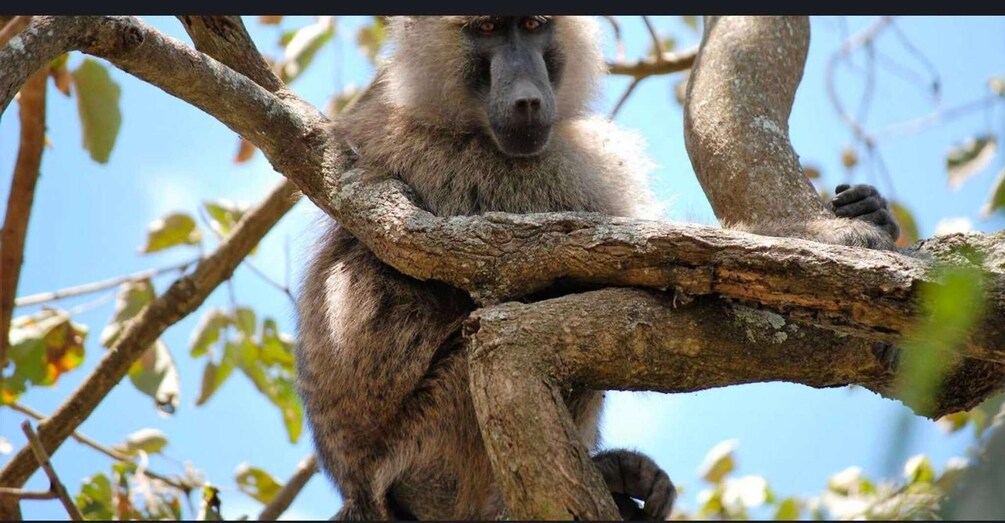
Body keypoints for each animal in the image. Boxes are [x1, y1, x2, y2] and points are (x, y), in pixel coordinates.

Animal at [294, 16, 899, 521]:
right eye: (486, 29)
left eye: (532, 26)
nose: (526, 99)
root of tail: (359, 489)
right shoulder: (515, 175)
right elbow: (645, 264)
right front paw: (836, 239)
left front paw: (864, 212)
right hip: (430, 453)